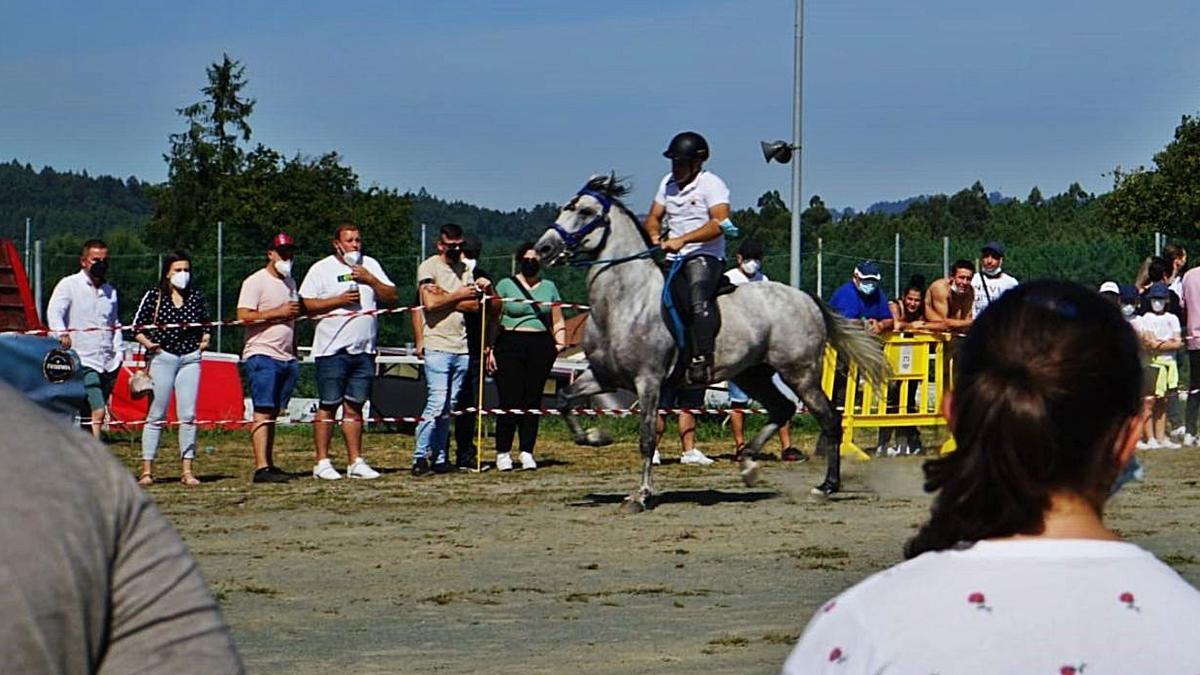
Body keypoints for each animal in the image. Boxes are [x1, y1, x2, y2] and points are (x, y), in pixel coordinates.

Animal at [537, 174, 892, 509]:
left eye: (585, 211)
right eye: (566, 206)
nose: (543, 249)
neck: (624, 301)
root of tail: (806, 298)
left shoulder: (648, 381)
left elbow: (647, 438)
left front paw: (641, 495)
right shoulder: (604, 375)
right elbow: (565, 400)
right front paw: (597, 436)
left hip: (799, 373)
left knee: (829, 419)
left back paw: (826, 486)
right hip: (752, 374)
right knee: (783, 408)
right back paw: (748, 465)